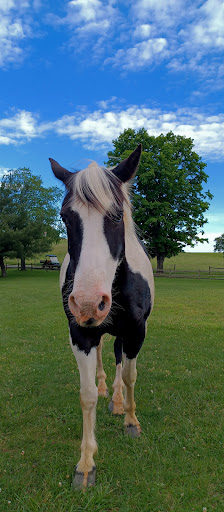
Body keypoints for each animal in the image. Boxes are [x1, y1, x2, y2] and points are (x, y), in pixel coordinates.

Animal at [49, 146, 154, 490]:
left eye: (117, 215)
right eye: (65, 217)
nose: (87, 303)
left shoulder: (136, 333)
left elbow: (131, 376)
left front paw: (131, 421)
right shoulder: (80, 334)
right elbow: (87, 395)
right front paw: (85, 464)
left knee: (120, 360)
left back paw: (118, 402)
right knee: (102, 358)